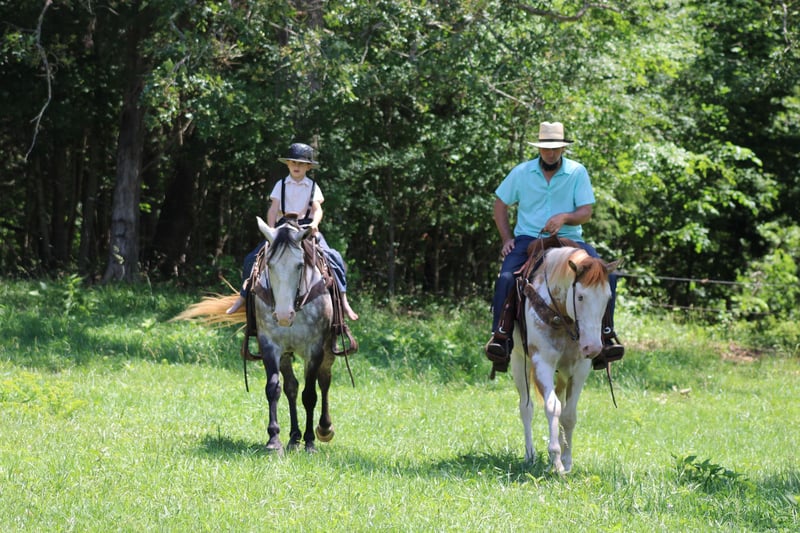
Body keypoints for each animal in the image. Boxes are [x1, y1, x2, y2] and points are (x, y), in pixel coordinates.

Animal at [174, 216, 336, 454]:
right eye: (270, 265)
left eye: (299, 265)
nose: (283, 315)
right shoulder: (270, 345)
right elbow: (274, 388)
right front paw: (274, 440)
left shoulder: (314, 348)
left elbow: (310, 394)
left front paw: (310, 442)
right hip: (286, 353)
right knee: (291, 387)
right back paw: (293, 437)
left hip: (328, 348)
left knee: (324, 381)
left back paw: (324, 429)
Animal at [510, 246, 620, 474]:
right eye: (580, 297)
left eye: (607, 298)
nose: (593, 348)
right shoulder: (542, 362)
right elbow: (552, 407)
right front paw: (556, 461)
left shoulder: (580, 368)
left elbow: (568, 414)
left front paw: (567, 461)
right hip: (518, 361)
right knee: (526, 407)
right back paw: (530, 455)